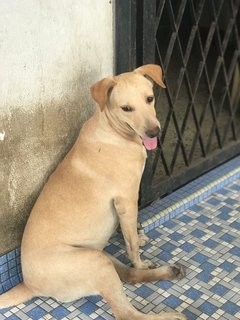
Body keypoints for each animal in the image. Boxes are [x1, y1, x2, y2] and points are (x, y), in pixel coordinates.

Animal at [0, 65, 187, 320]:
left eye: (149, 99)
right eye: (126, 108)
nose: (154, 132)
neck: (114, 130)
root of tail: (28, 285)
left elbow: (129, 237)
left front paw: (139, 240)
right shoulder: (126, 199)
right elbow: (130, 243)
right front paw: (138, 252)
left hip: (100, 255)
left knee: (128, 276)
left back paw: (169, 272)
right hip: (94, 261)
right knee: (127, 313)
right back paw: (170, 314)